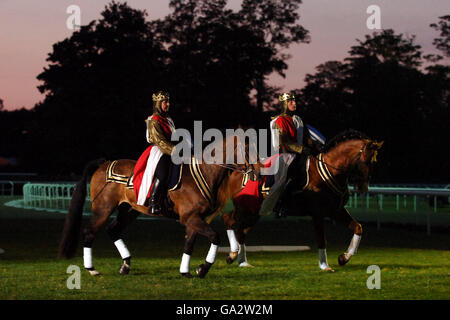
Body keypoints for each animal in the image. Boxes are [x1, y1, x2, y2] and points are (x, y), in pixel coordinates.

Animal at [58, 134, 256, 278]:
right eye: (246, 150)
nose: (255, 174)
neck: (204, 173)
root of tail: (103, 163)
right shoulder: (191, 218)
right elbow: (215, 236)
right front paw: (203, 269)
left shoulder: (196, 219)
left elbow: (189, 244)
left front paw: (186, 271)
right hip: (103, 209)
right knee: (89, 232)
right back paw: (92, 269)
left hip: (128, 210)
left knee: (113, 230)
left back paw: (125, 265)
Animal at [221, 129, 384, 272]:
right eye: (365, 160)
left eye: (374, 161)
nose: (363, 187)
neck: (330, 171)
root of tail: (241, 171)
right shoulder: (318, 214)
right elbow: (321, 239)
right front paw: (324, 266)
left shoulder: (336, 211)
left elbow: (358, 227)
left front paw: (344, 257)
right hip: (245, 209)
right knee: (228, 220)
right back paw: (233, 254)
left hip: (256, 212)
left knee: (241, 232)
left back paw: (242, 262)